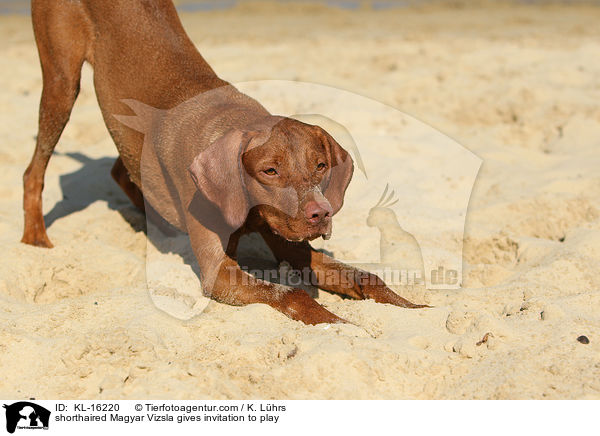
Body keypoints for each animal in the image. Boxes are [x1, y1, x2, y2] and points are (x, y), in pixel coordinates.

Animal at [22, 0, 426, 324]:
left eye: (320, 166)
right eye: (270, 171)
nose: (321, 213)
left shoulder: (290, 242)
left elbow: (365, 277)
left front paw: (415, 310)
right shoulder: (219, 273)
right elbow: (290, 293)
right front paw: (339, 324)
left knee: (123, 169)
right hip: (62, 82)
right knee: (33, 171)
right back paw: (35, 239)